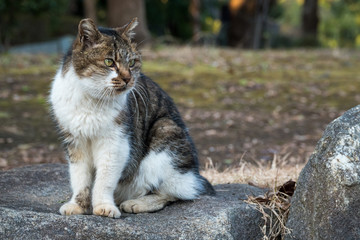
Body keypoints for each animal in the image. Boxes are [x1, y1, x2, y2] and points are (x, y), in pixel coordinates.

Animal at [49, 17, 215, 218]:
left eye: (132, 62)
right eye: (109, 62)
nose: (128, 78)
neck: (92, 100)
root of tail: (195, 174)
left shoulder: (116, 144)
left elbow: (105, 179)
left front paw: (104, 206)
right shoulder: (75, 142)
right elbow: (80, 178)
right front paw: (78, 205)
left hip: (165, 133)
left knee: (174, 192)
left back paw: (136, 203)